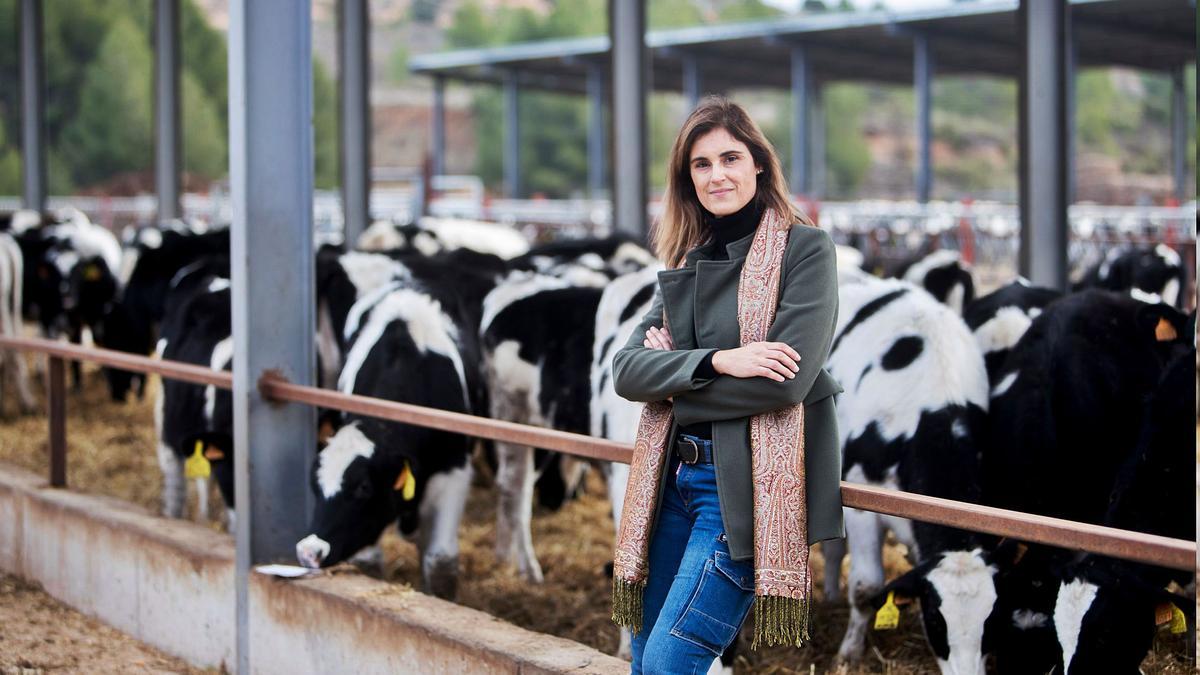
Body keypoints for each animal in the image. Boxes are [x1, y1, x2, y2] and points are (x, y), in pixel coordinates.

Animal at [294, 281, 472, 595]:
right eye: (314, 483)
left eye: (364, 487)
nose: (309, 552)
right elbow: (369, 562)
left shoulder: (454, 469)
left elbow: (441, 562)